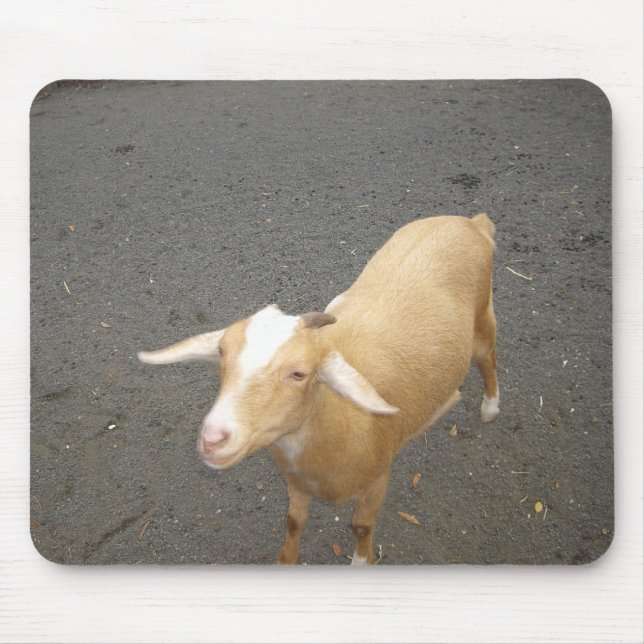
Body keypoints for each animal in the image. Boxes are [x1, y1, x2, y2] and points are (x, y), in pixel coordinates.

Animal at [138, 214, 499, 564]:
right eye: (222, 353)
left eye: (299, 373)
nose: (213, 439)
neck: (344, 423)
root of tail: (470, 222)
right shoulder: (296, 484)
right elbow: (293, 521)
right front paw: (286, 561)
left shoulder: (377, 477)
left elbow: (362, 526)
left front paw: (361, 562)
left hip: (483, 317)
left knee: (488, 358)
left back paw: (491, 407)